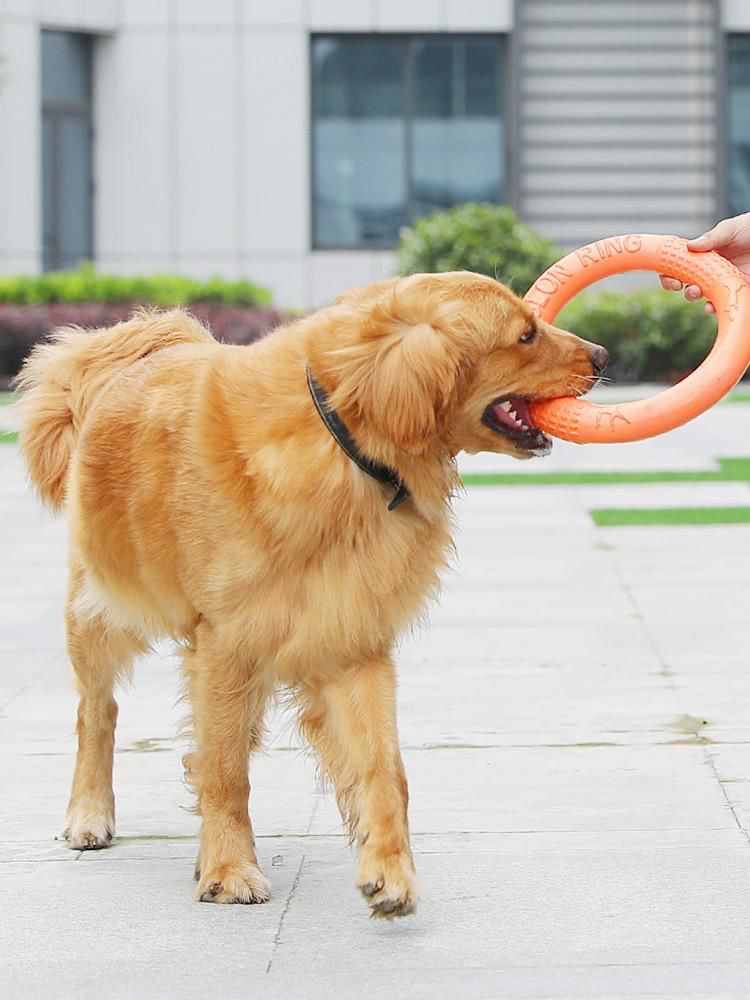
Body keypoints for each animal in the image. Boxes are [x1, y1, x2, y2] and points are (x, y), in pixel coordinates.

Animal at [16, 270, 604, 916]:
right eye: (525, 335)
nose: (604, 356)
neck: (345, 439)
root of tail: (141, 346)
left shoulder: (351, 639)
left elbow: (383, 769)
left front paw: (389, 872)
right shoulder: (225, 644)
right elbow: (226, 771)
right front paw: (229, 870)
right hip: (100, 611)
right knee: (98, 711)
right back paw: (89, 815)